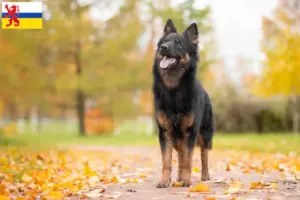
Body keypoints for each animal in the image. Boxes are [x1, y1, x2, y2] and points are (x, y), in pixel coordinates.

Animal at [152, 18, 213, 188]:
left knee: (204, 154)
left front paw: (187, 179)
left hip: (204, 134)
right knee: (180, 155)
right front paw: (165, 180)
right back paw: (178, 177)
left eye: (179, 44)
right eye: (165, 42)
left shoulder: (190, 132)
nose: (163, 48)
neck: (173, 89)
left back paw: (204, 175)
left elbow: (188, 159)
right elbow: (167, 161)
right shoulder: (165, 132)